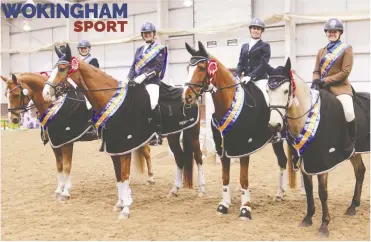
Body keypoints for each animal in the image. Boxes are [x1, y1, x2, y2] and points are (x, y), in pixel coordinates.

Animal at [42, 43, 208, 219]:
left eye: (61, 69)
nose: (45, 93)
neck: (111, 99)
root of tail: (189, 94)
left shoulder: (124, 145)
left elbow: (125, 175)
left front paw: (126, 208)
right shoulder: (114, 146)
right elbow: (119, 177)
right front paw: (120, 204)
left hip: (193, 134)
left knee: (198, 157)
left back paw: (202, 190)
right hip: (173, 136)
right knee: (180, 159)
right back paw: (174, 190)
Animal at [183, 41, 294, 221]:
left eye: (201, 67)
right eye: (188, 67)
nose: (187, 97)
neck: (228, 103)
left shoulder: (244, 148)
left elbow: (243, 179)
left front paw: (245, 209)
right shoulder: (223, 148)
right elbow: (225, 177)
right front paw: (223, 205)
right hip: (276, 140)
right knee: (283, 161)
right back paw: (279, 194)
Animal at [268, 58, 370, 236]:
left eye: (286, 91)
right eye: (267, 90)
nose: (274, 126)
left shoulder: (322, 163)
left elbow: (322, 193)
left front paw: (324, 225)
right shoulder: (305, 160)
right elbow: (309, 190)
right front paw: (308, 218)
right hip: (354, 153)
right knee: (360, 171)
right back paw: (352, 206)